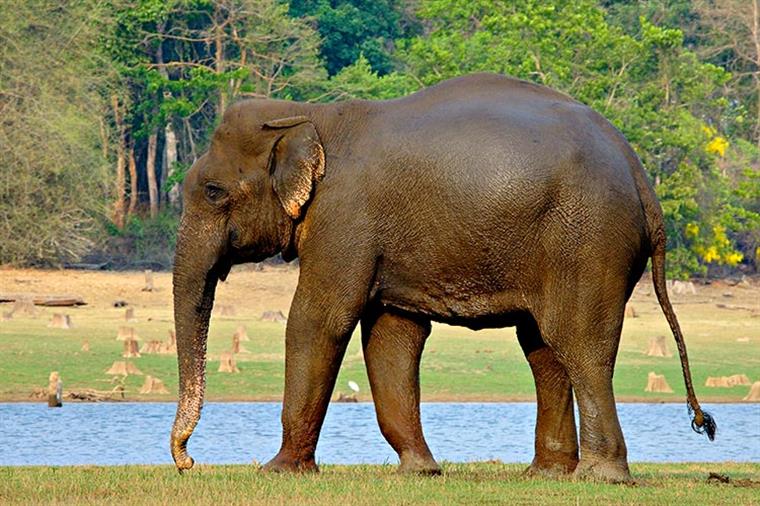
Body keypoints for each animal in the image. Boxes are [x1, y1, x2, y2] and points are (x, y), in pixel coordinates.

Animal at [169, 71, 716, 482]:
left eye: (213, 191)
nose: (187, 461)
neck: (311, 113)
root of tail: (640, 175)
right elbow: (392, 335)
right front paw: (420, 471)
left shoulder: (344, 218)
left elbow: (318, 319)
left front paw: (278, 470)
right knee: (543, 347)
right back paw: (547, 474)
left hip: (588, 239)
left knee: (579, 343)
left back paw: (601, 476)